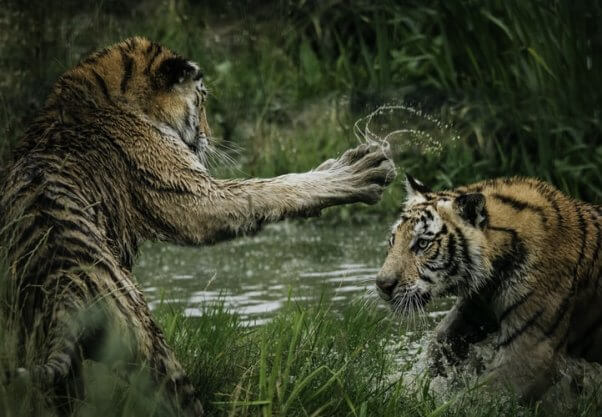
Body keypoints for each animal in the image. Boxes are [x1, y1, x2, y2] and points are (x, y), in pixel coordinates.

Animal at [0, 37, 396, 414]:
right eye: (202, 101)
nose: (208, 136)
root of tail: (63, 287)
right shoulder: (194, 197)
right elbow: (269, 189)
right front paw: (357, 172)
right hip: (149, 347)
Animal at [376, 174, 600, 398]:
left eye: (423, 244)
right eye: (393, 240)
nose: (381, 285)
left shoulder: (531, 353)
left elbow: (478, 397)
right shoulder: (474, 309)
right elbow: (439, 344)